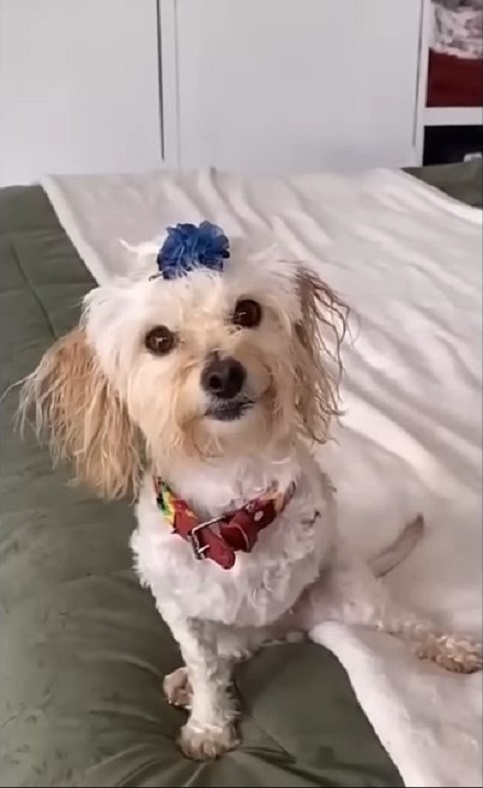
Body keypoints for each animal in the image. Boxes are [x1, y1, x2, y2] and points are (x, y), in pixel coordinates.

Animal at [21, 223, 483, 764]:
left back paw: (447, 645)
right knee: (233, 654)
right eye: (158, 340)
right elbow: (207, 669)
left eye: (247, 312)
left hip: (352, 597)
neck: (229, 490)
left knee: (403, 620)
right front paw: (208, 723)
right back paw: (190, 679)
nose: (223, 374)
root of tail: (288, 625)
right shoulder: (185, 612)